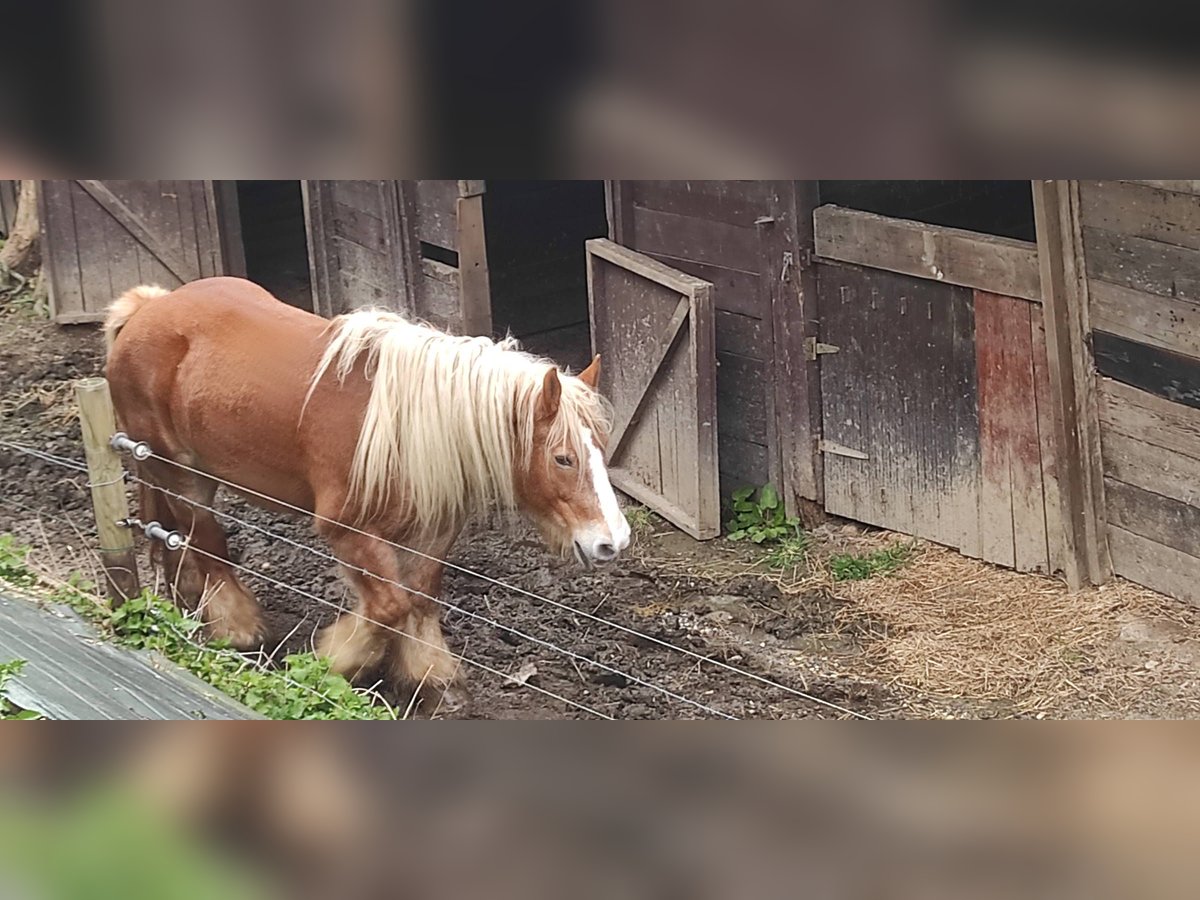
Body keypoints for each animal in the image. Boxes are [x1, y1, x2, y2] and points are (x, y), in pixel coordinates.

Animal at [105, 278, 628, 710]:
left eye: (601, 449)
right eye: (563, 458)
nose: (613, 541)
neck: (409, 430)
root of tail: (147, 308)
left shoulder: (430, 531)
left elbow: (419, 599)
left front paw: (432, 681)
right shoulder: (349, 531)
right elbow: (389, 607)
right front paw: (333, 663)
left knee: (179, 539)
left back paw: (188, 599)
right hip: (179, 470)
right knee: (208, 544)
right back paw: (239, 632)